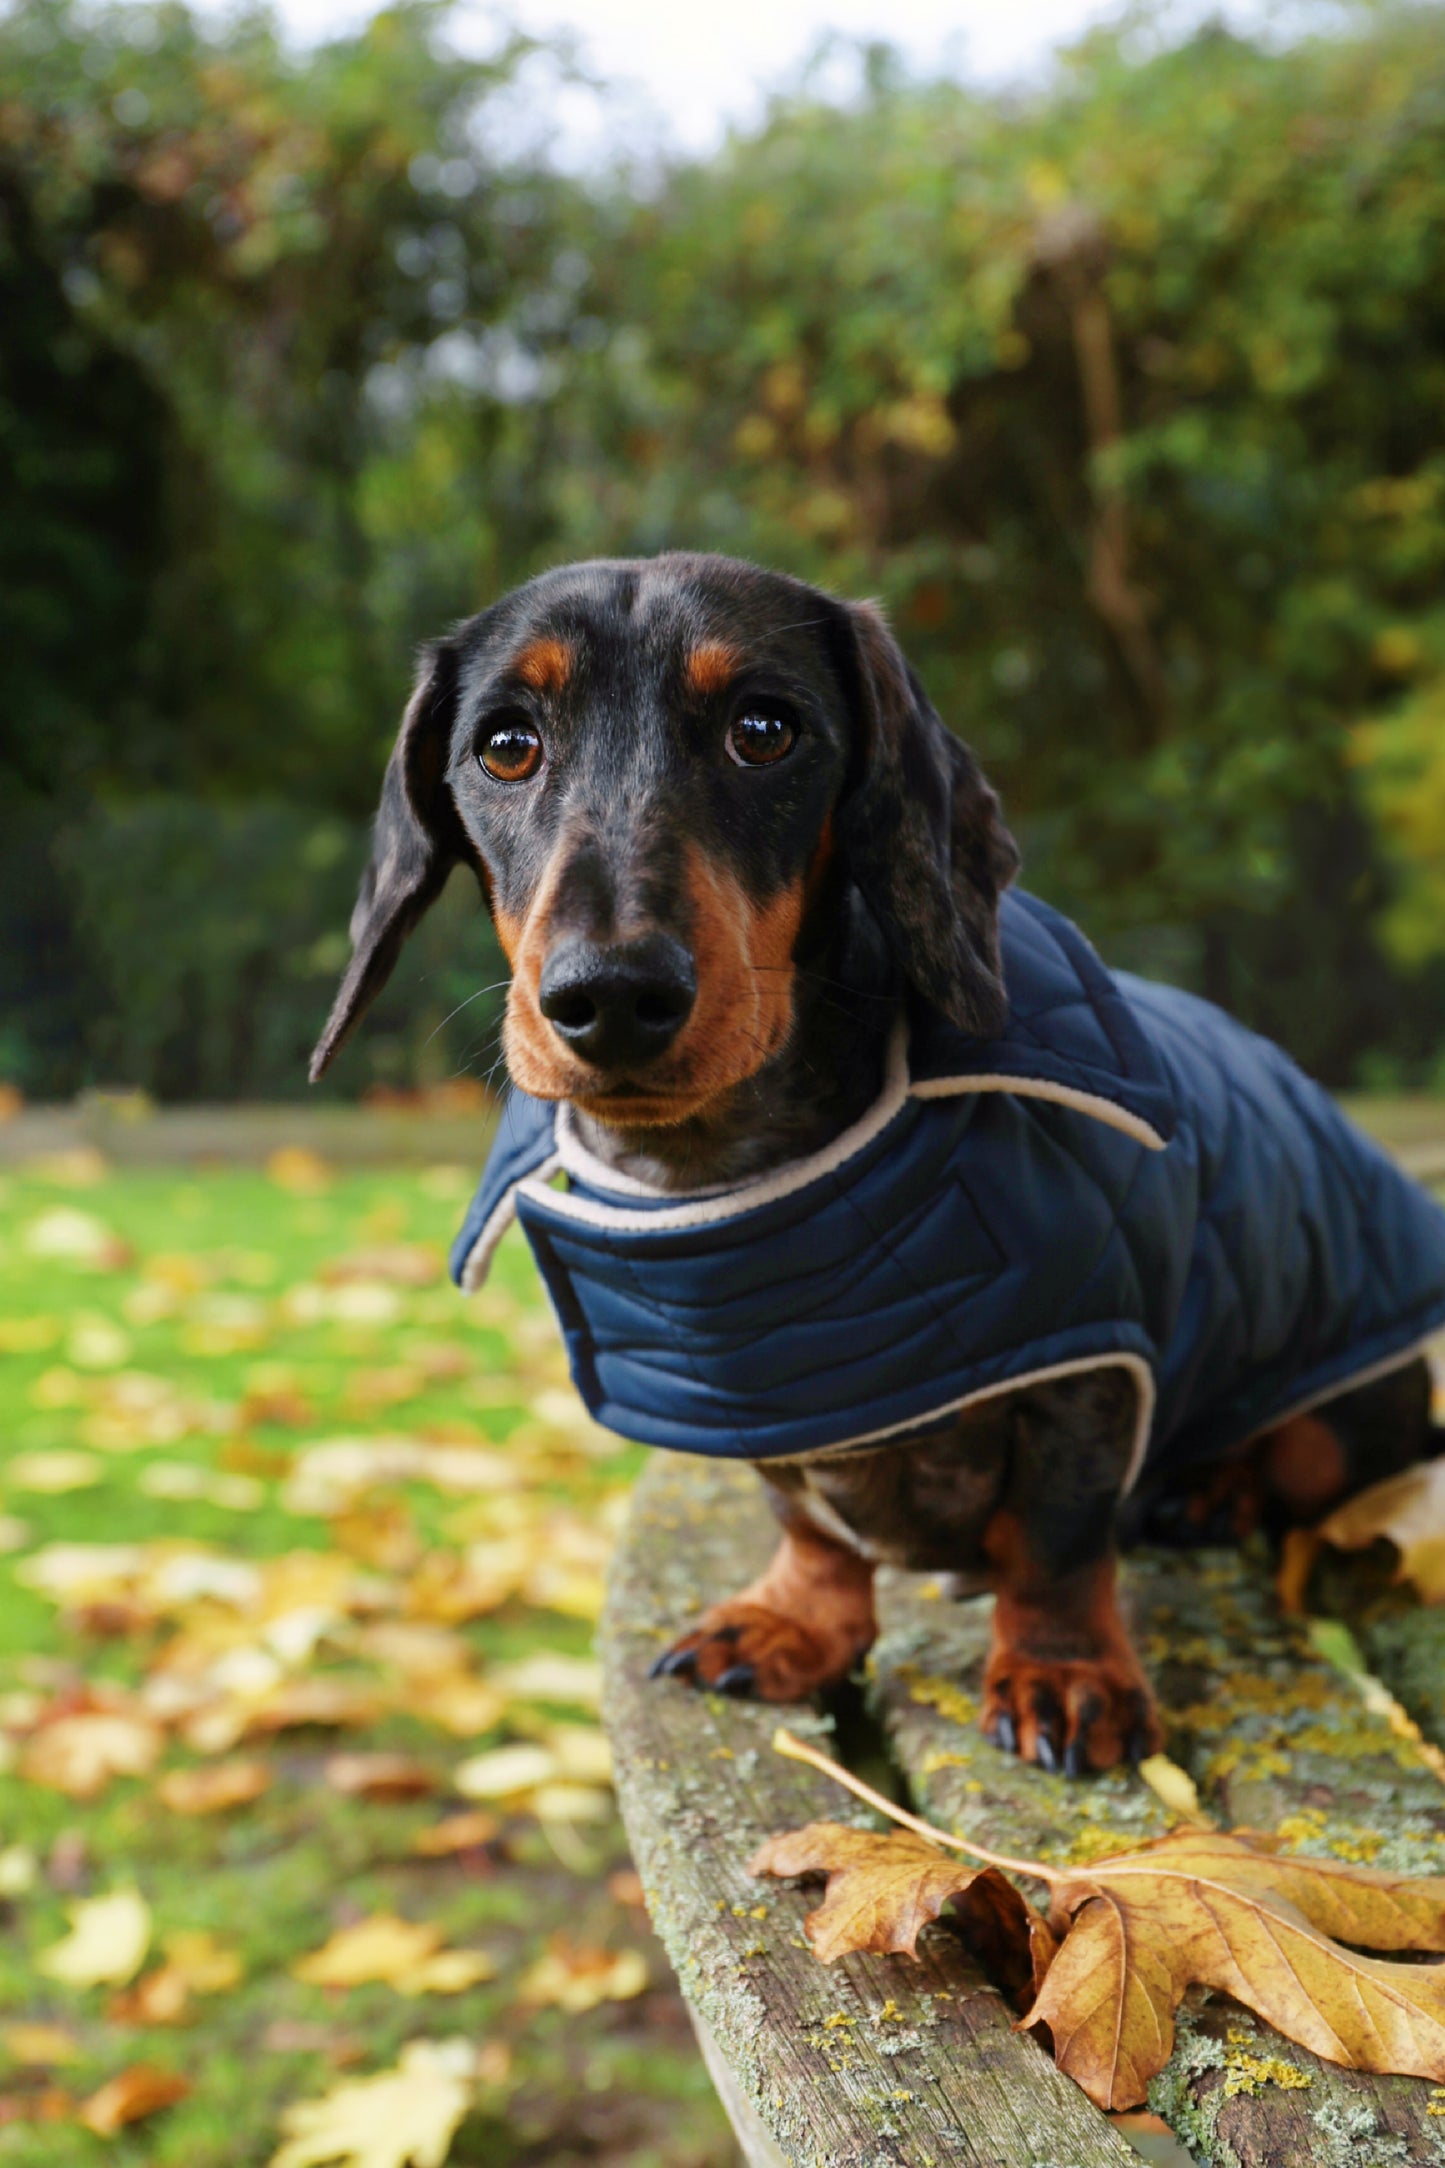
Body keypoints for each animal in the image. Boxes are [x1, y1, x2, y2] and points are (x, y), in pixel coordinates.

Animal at [311, 550, 1438, 1769]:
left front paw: (1063, 1674)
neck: (724, 1178)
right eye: (506, 744)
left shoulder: (1087, 1371)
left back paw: (1217, 1491)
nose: (608, 997)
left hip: (1335, 1411)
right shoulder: (766, 1399)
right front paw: (795, 1621)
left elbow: (1057, 1542)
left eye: (764, 728)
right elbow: (811, 1524)